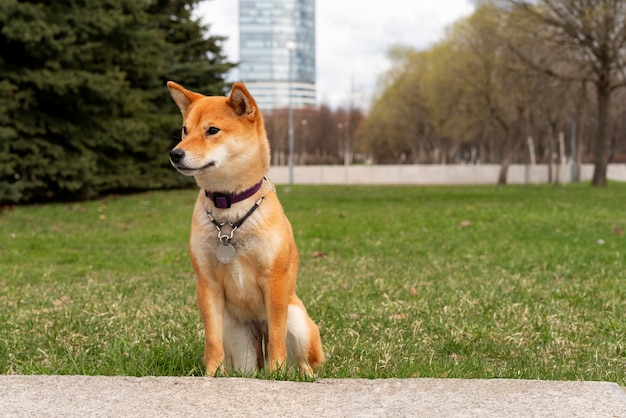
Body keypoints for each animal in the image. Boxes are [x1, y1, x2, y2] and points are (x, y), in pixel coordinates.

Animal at [167, 81, 322, 376]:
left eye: (212, 130)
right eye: (184, 130)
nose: (175, 153)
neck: (229, 210)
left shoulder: (275, 280)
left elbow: (276, 338)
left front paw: (276, 374)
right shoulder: (207, 283)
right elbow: (212, 342)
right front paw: (211, 375)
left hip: (298, 320)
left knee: (304, 360)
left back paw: (299, 376)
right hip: (238, 339)